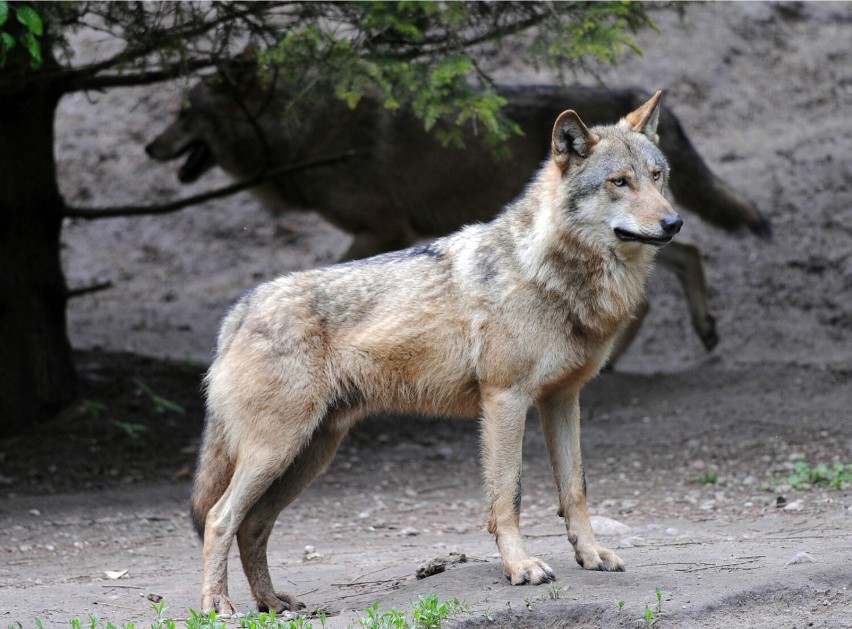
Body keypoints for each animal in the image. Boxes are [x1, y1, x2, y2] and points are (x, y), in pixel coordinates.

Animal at [148, 68, 772, 364]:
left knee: (677, 265)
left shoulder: (384, 228)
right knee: (686, 257)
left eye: (185, 113)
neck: (305, 135)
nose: (152, 147)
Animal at [191, 91, 680, 612]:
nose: (674, 222)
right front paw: (520, 568)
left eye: (656, 176)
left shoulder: (563, 400)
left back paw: (273, 603)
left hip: (308, 456)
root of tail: (241, 307)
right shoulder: (505, 400)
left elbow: (576, 490)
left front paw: (590, 555)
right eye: (619, 182)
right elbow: (508, 497)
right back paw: (218, 605)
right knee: (220, 518)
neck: (550, 274)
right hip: (277, 451)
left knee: (253, 524)